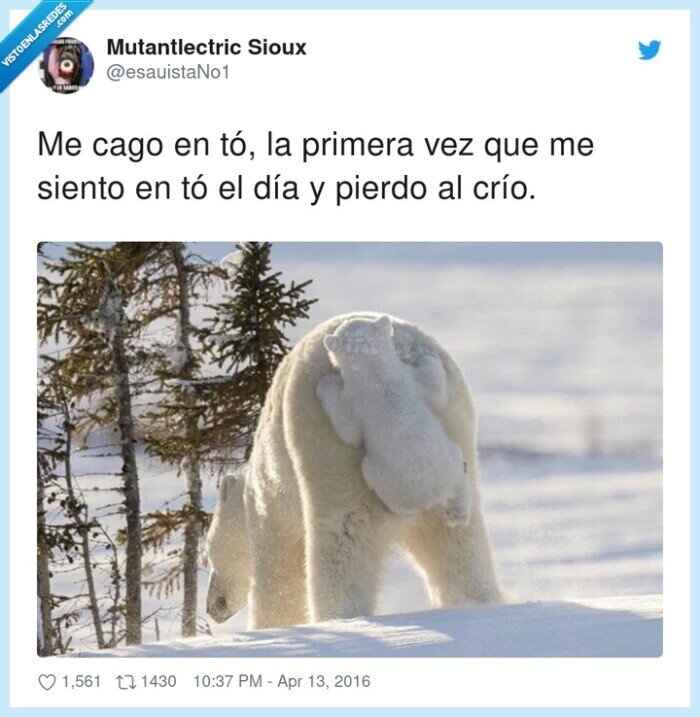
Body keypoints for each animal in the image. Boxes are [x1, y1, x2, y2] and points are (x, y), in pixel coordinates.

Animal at [206, 311, 501, 630]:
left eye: (207, 554)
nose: (213, 607)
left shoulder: (270, 504)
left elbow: (279, 574)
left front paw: (272, 626)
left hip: (328, 452)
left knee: (341, 540)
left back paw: (340, 617)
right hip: (455, 431)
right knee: (459, 545)